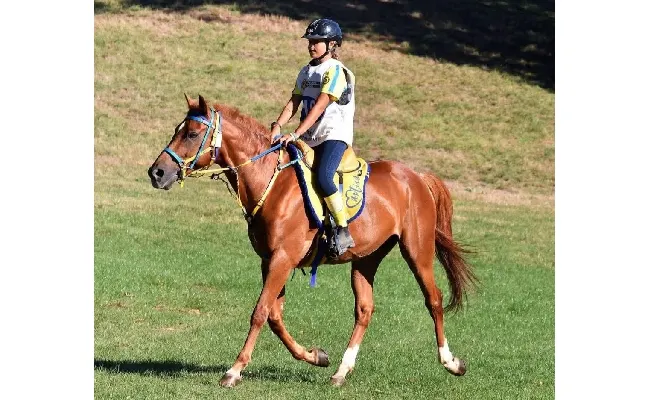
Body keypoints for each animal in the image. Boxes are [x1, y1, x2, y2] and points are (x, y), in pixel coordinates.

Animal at [148, 94, 478, 388]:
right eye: (177, 130)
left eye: (191, 134)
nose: (157, 172)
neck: (272, 182)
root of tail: (417, 176)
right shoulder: (270, 261)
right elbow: (275, 317)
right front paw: (315, 356)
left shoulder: (283, 258)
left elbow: (260, 313)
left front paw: (234, 371)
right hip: (366, 259)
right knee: (364, 310)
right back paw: (341, 372)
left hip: (417, 251)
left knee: (434, 300)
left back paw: (451, 362)